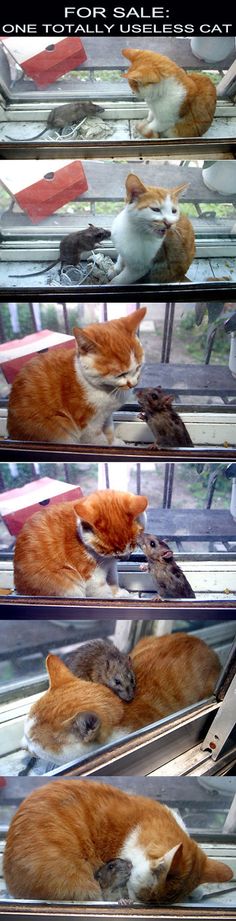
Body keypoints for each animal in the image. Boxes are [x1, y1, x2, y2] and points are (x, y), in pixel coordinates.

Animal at [7, 310, 146, 446]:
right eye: (121, 374)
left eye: (138, 367)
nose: (133, 384)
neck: (105, 390)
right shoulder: (88, 425)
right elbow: (98, 439)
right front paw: (107, 445)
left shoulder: (107, 415)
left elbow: (109, 429)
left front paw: (114, 442)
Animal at [13, 488, 148, 596]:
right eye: (105, 550)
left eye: (132, 544)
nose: (123, 558)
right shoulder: (93, 577)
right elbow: (104, 592)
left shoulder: (111, 566)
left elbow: (113, 580)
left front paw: (119, 593)